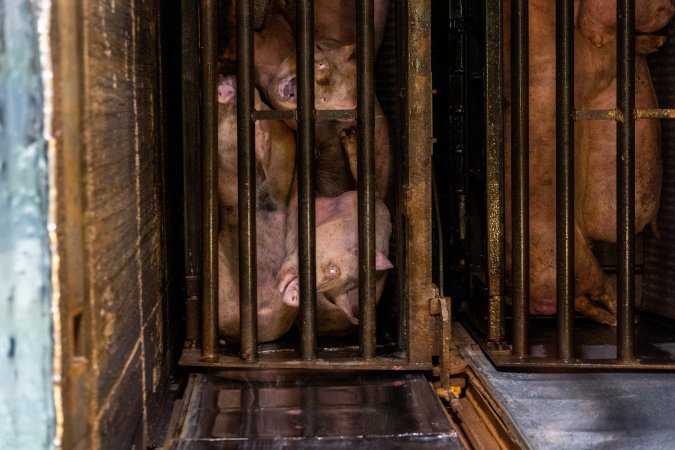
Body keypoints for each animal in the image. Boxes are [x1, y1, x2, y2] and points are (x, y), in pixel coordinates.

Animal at [502, 0, 672, 324]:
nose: (669, 9)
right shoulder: (592, 62)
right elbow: (618, 52)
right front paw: (655, 43)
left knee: (582, 302)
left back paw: (611, 319)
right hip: (579, 265)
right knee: (598, 288)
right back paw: (623, 318)